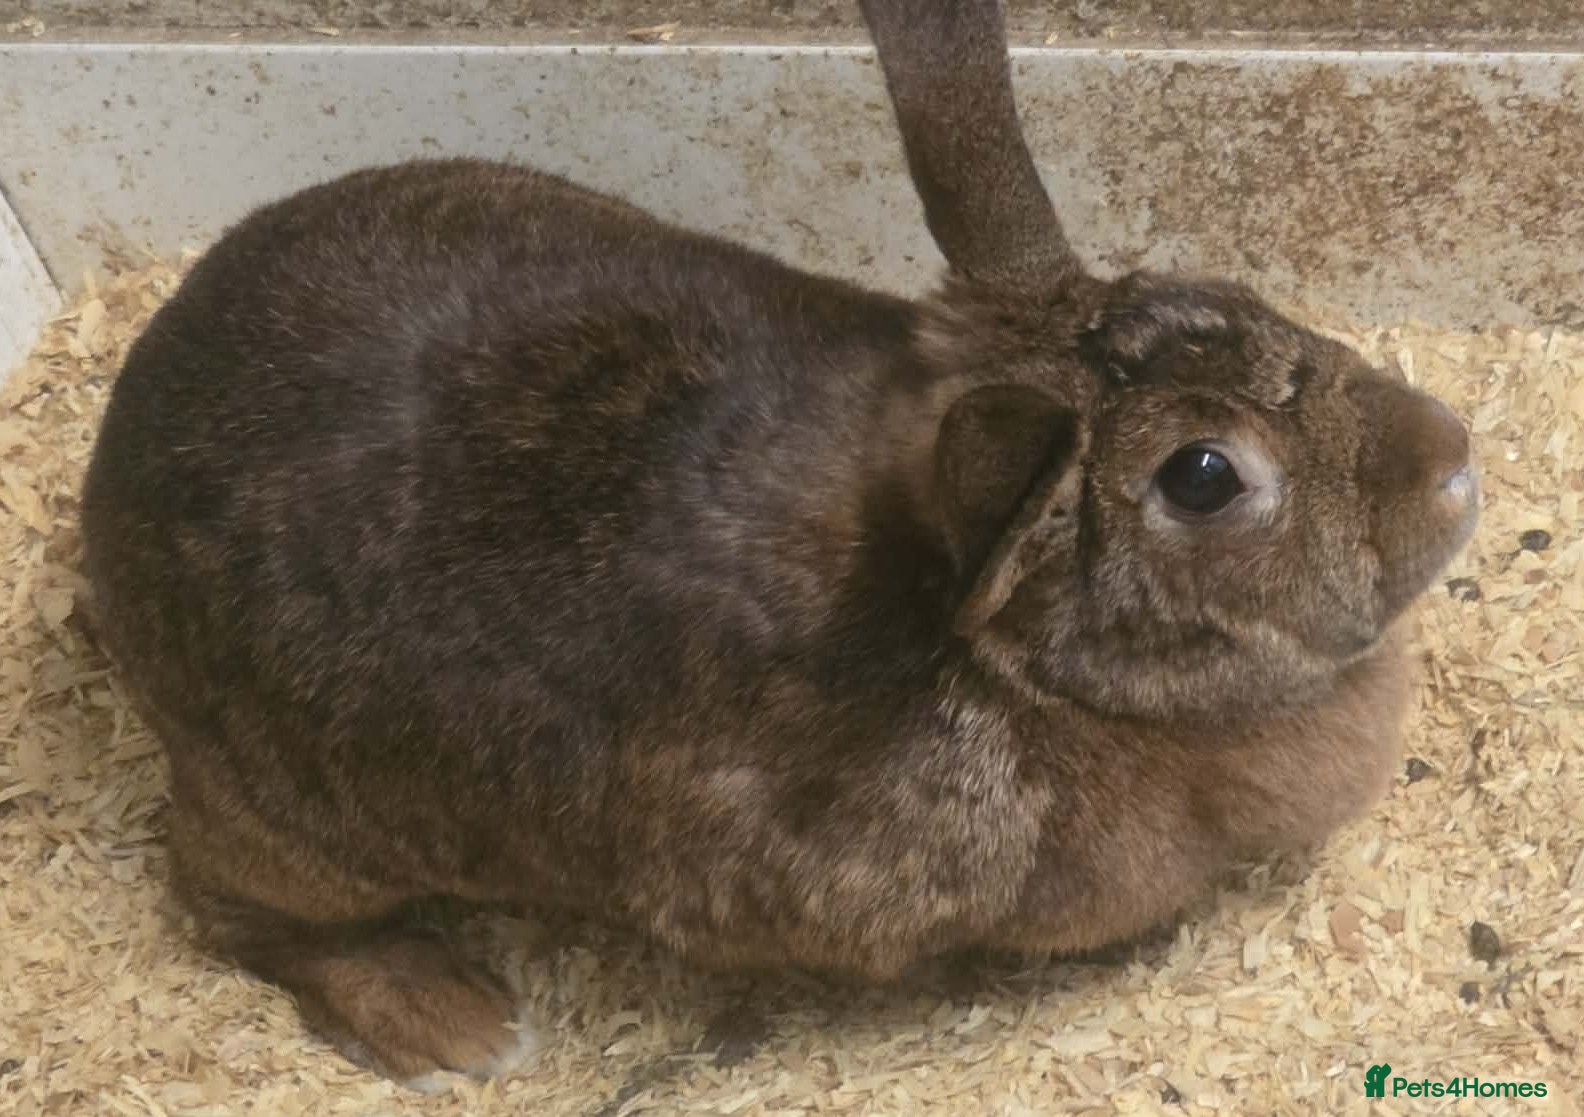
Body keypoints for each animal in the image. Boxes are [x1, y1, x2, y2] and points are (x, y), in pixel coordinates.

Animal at [80, 0, 1478, 1086]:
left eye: (1225, 297)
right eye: (1203, 475)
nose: (1453, 459)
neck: (1026, 662)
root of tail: (112, 468)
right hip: (302, 820)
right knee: (227, 902)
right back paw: (453, 1025)